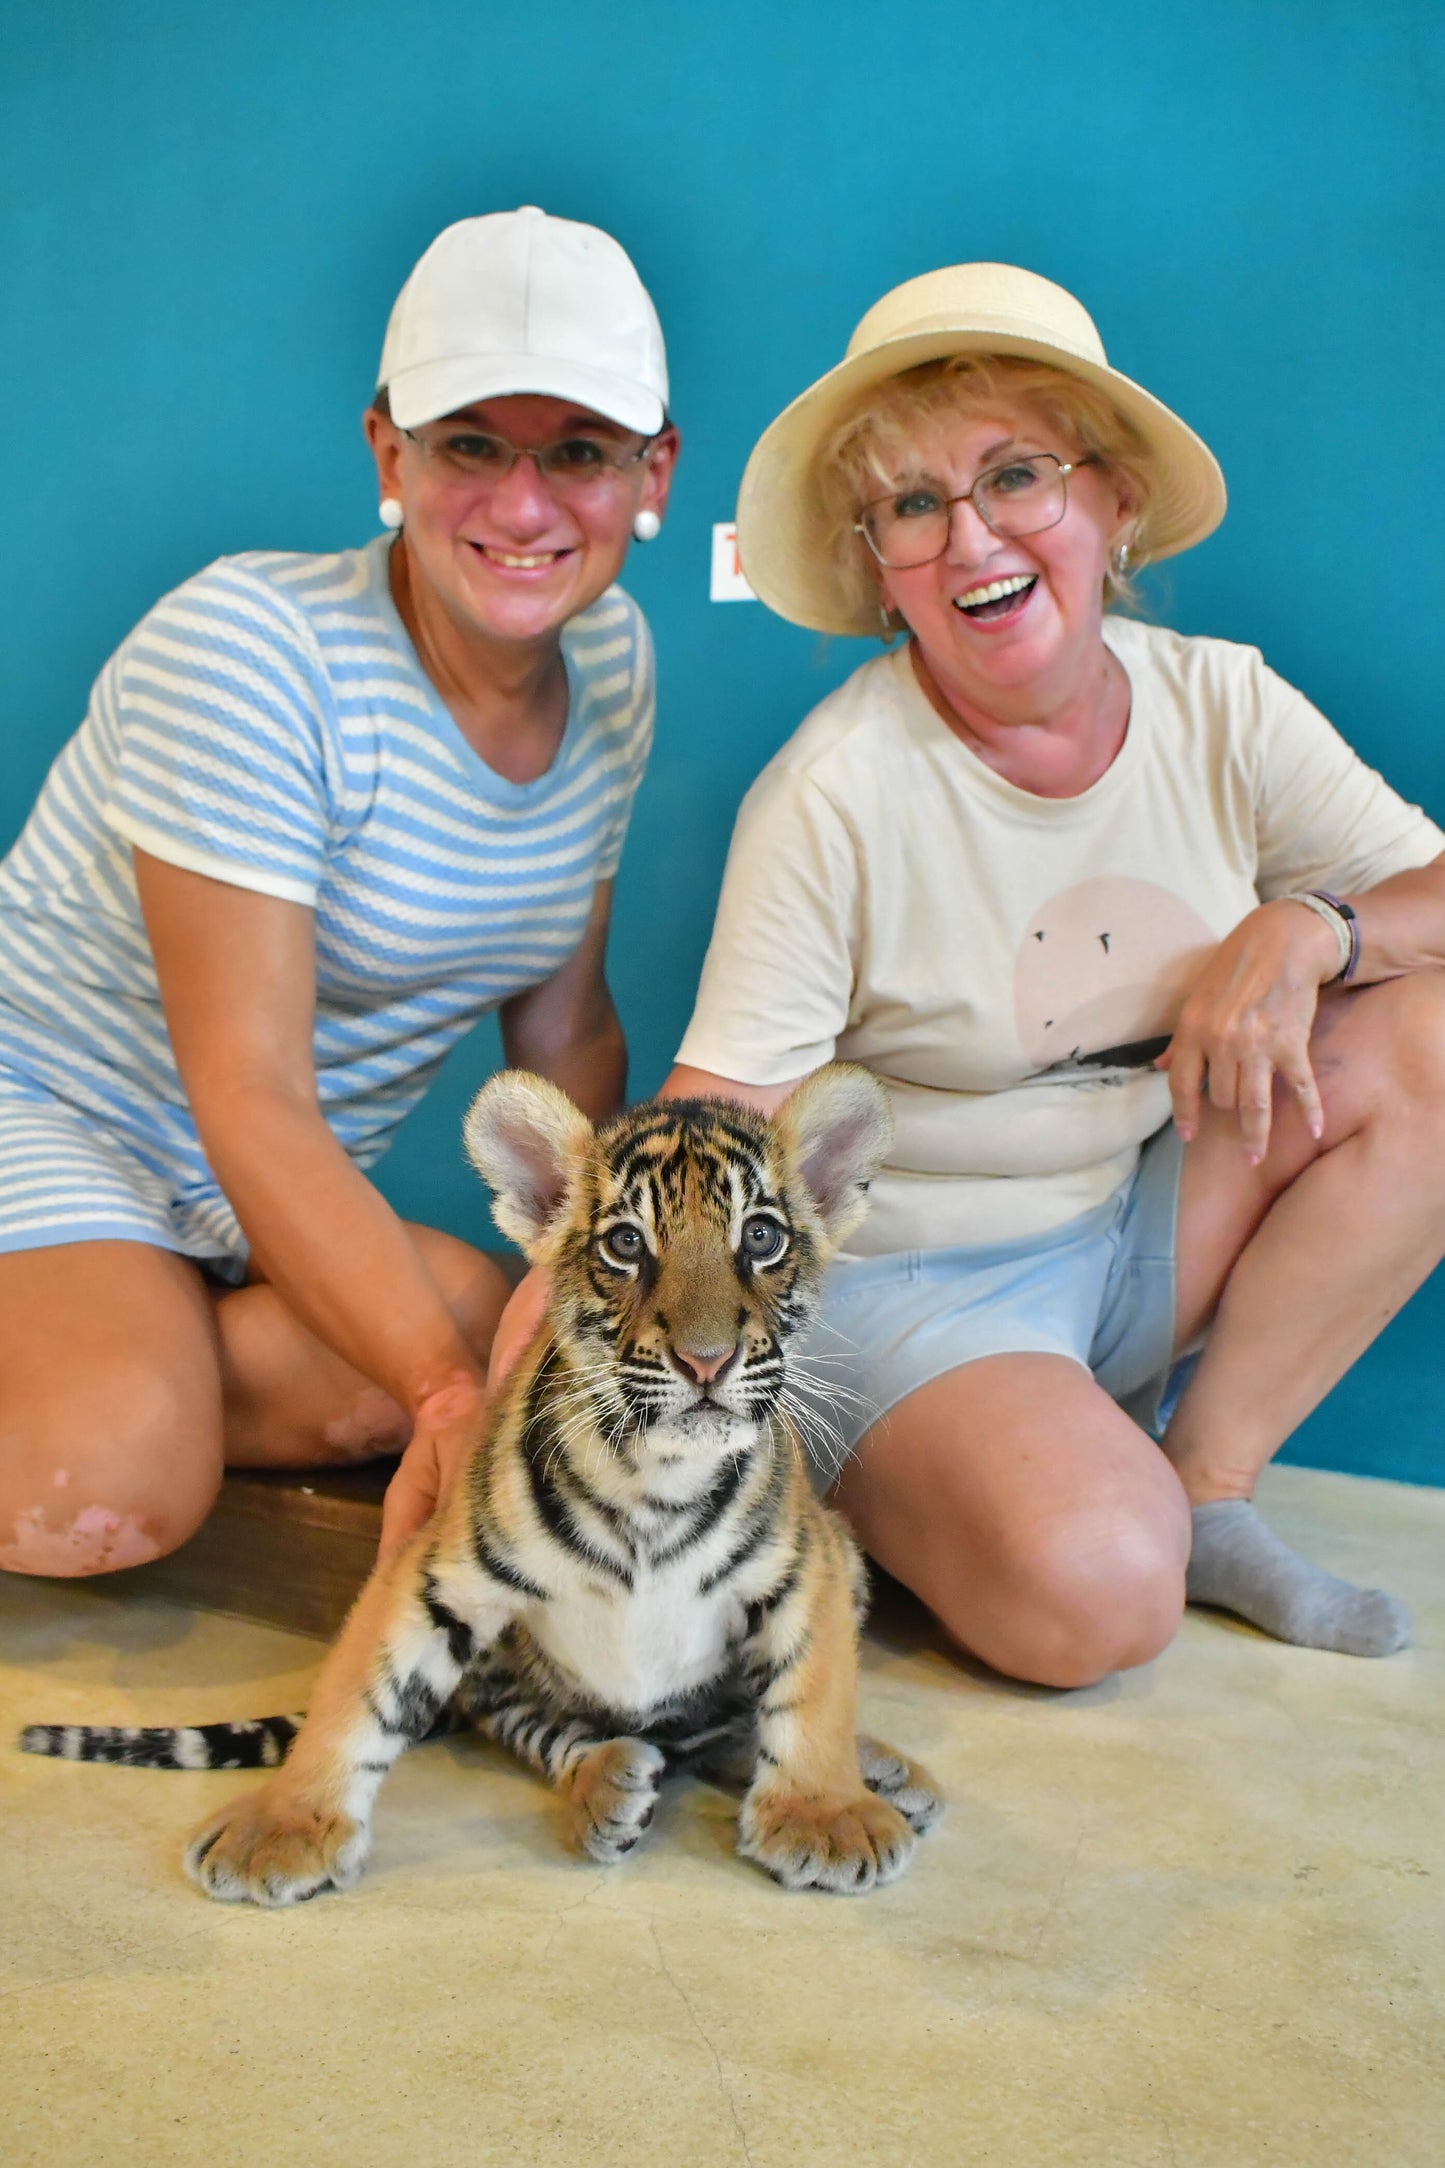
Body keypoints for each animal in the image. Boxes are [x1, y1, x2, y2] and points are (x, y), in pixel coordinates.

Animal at [21, 1064, 941, 1904]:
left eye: (759, 1238)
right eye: (625, 1245)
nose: (706, 1362)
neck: (657, 1479)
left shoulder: (809, 1565)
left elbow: (814, 1690)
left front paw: (826, 1811)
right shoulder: (434, 1571)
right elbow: (355, 1693)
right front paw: (283, 1825)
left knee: (724, 1726)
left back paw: (875, 1771)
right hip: (507, 1671)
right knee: (535, 1729)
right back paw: (608, 1784)